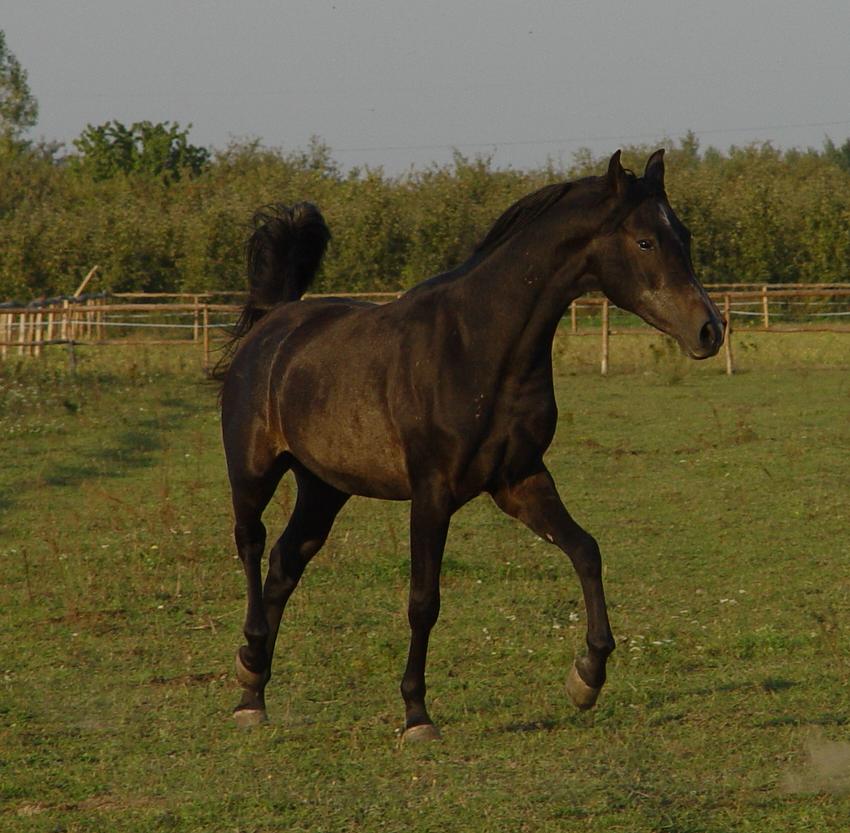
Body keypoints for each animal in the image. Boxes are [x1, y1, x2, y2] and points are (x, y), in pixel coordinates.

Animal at [219, 148, 724, 736]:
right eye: (645, 241)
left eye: (683, 234)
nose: (710, 330)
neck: (477, 346)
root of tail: (274, 322)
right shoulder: (432, 493)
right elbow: (423, 601)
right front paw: (416, 713)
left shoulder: (520, 479)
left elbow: (586, 551)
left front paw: (586, 678)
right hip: (253, 470)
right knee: (251, 544)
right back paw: (249, 667)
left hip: (324, 487)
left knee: (284, 564)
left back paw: (254, 690)